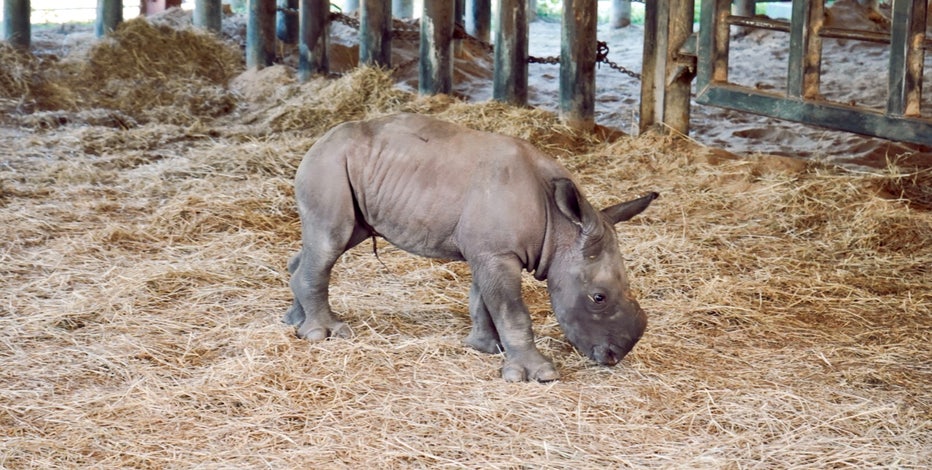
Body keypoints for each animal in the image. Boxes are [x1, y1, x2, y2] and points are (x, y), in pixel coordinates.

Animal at [285, 113, 658, 382]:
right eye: (599, 298)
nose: (614, 356)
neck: (561, 226)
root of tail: (319, 142)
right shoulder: (497, 255)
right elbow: (512, 312)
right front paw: (537, 374)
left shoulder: (487, 252)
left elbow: (484, 300)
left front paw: (486, 348)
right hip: (329, 166)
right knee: (330, 240)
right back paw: (323, 333)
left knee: (334, 240)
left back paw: (295, 321)